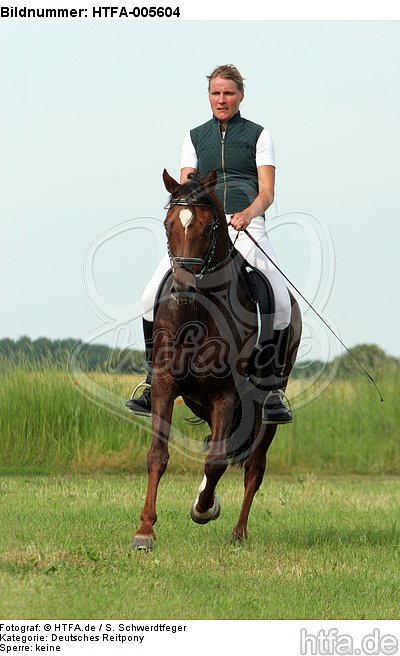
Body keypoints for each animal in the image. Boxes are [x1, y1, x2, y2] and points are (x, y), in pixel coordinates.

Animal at [132, 169, 302, 550]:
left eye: (210, 228)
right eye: (168, 224)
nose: (183, 287)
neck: (196, 312)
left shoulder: (226, 394)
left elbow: (216, 462)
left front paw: (203, 509)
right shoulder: (166, 383)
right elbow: (157, 454)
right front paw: (144, 531)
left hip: (264, 406)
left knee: (254, 467)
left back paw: (238, 533)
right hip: (200, 400)